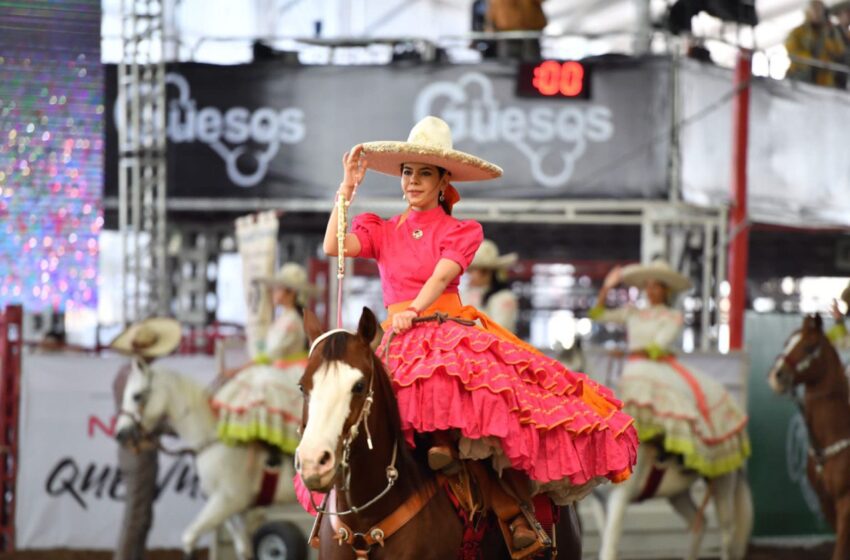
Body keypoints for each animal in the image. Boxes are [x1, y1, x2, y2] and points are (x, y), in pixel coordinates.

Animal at [114, 360, 296, 556]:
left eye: (136, 396)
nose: (120, 434)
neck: (214, 440)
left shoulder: (228, 501)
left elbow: (189, 538)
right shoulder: (234, 511)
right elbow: (243, 549)